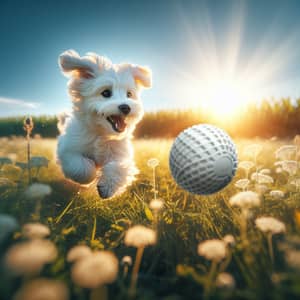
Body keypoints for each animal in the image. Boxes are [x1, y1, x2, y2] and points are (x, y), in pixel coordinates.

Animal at [56, 50, 151, 198]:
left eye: (129, 94)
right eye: (106, 93)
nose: (126, 107)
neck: (102, 134)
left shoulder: (120, 153)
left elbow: (119, 167)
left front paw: (107, 187)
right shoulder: (68, 150)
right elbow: (82, 168)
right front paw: (89, 177)